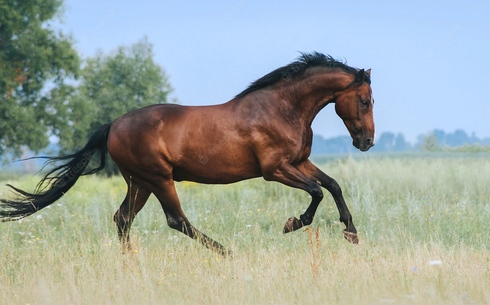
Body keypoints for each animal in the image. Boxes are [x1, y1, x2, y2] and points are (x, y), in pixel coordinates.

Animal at [0, 51, 376, 254]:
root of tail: (113, 125)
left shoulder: (300, 162)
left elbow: (332, 185)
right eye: (364, 100)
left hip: (139, 183)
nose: (368, 142)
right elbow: (316, 192)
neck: (281, 109)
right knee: (176, 220)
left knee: (123, 218)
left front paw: (351, 233)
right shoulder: (276, 169)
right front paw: (292, 224)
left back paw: (130, 260)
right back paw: (227, 252)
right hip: (158, 179)